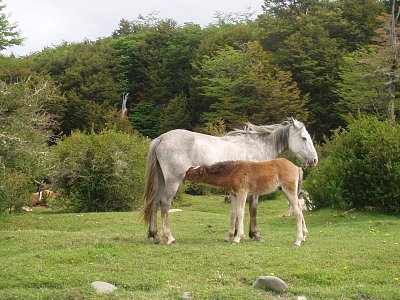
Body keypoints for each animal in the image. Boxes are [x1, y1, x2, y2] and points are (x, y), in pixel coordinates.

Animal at [142, 117, 318, 244]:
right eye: (304, 138)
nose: (314, 160)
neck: (256, 146)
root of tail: (161, 138)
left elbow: (236, 212)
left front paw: (235, 234)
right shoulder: (252, 192)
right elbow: (252, 210)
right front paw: (254, 235)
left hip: (162, 180)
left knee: (155, 202)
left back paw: (154, 235)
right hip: (173, 180)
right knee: (165, 203)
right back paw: (169, 237)